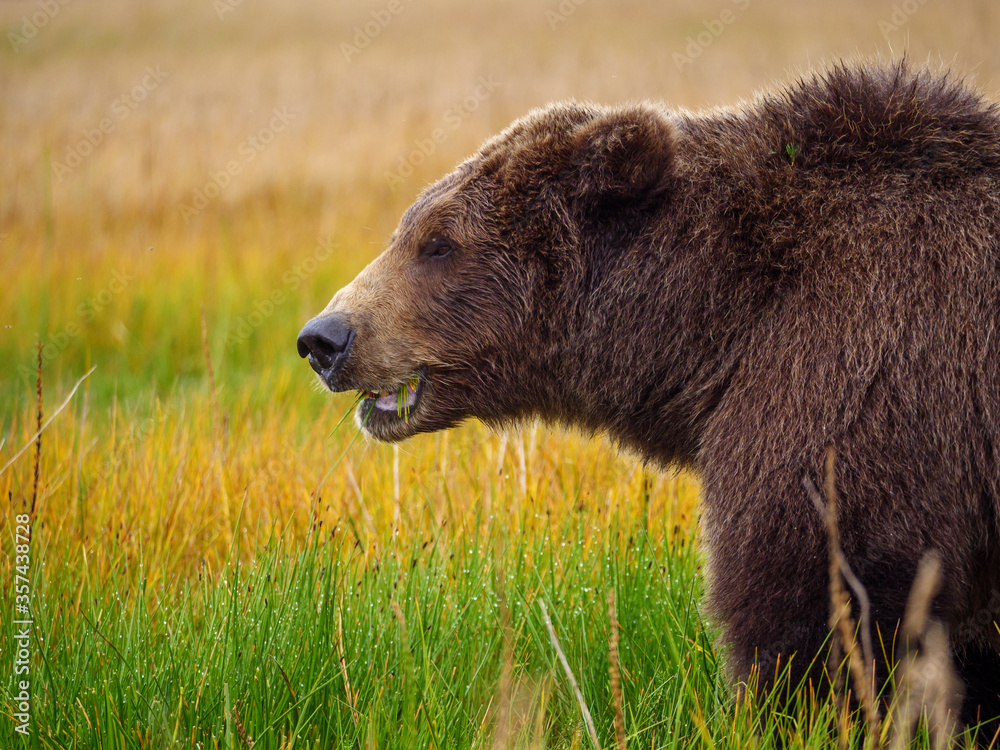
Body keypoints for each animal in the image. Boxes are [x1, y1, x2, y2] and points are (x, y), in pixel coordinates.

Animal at [298, 63, 1000, 736]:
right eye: (406, 229)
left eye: (439, 243)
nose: (323, 337)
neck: (718, 322)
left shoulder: (864, 383)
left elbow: (815, 603)